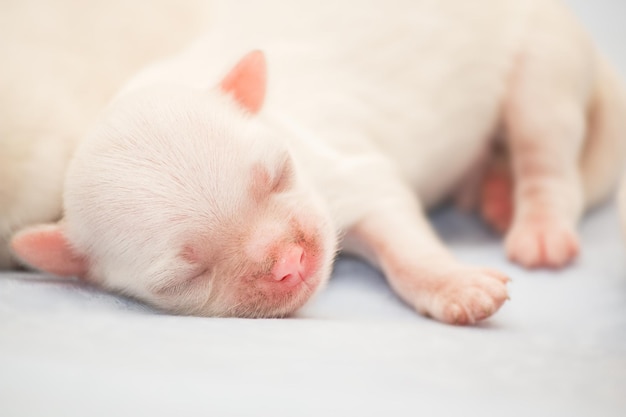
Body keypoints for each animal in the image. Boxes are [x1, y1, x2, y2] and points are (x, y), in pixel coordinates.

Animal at [4, 0, 624, 324]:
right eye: (187, 277)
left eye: (279, 175)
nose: (289, 264)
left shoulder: (358, 178)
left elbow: (408, 250)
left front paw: (453, 284)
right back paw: (489, 190)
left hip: (543, 66)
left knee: (549, 160)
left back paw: (538, 228)